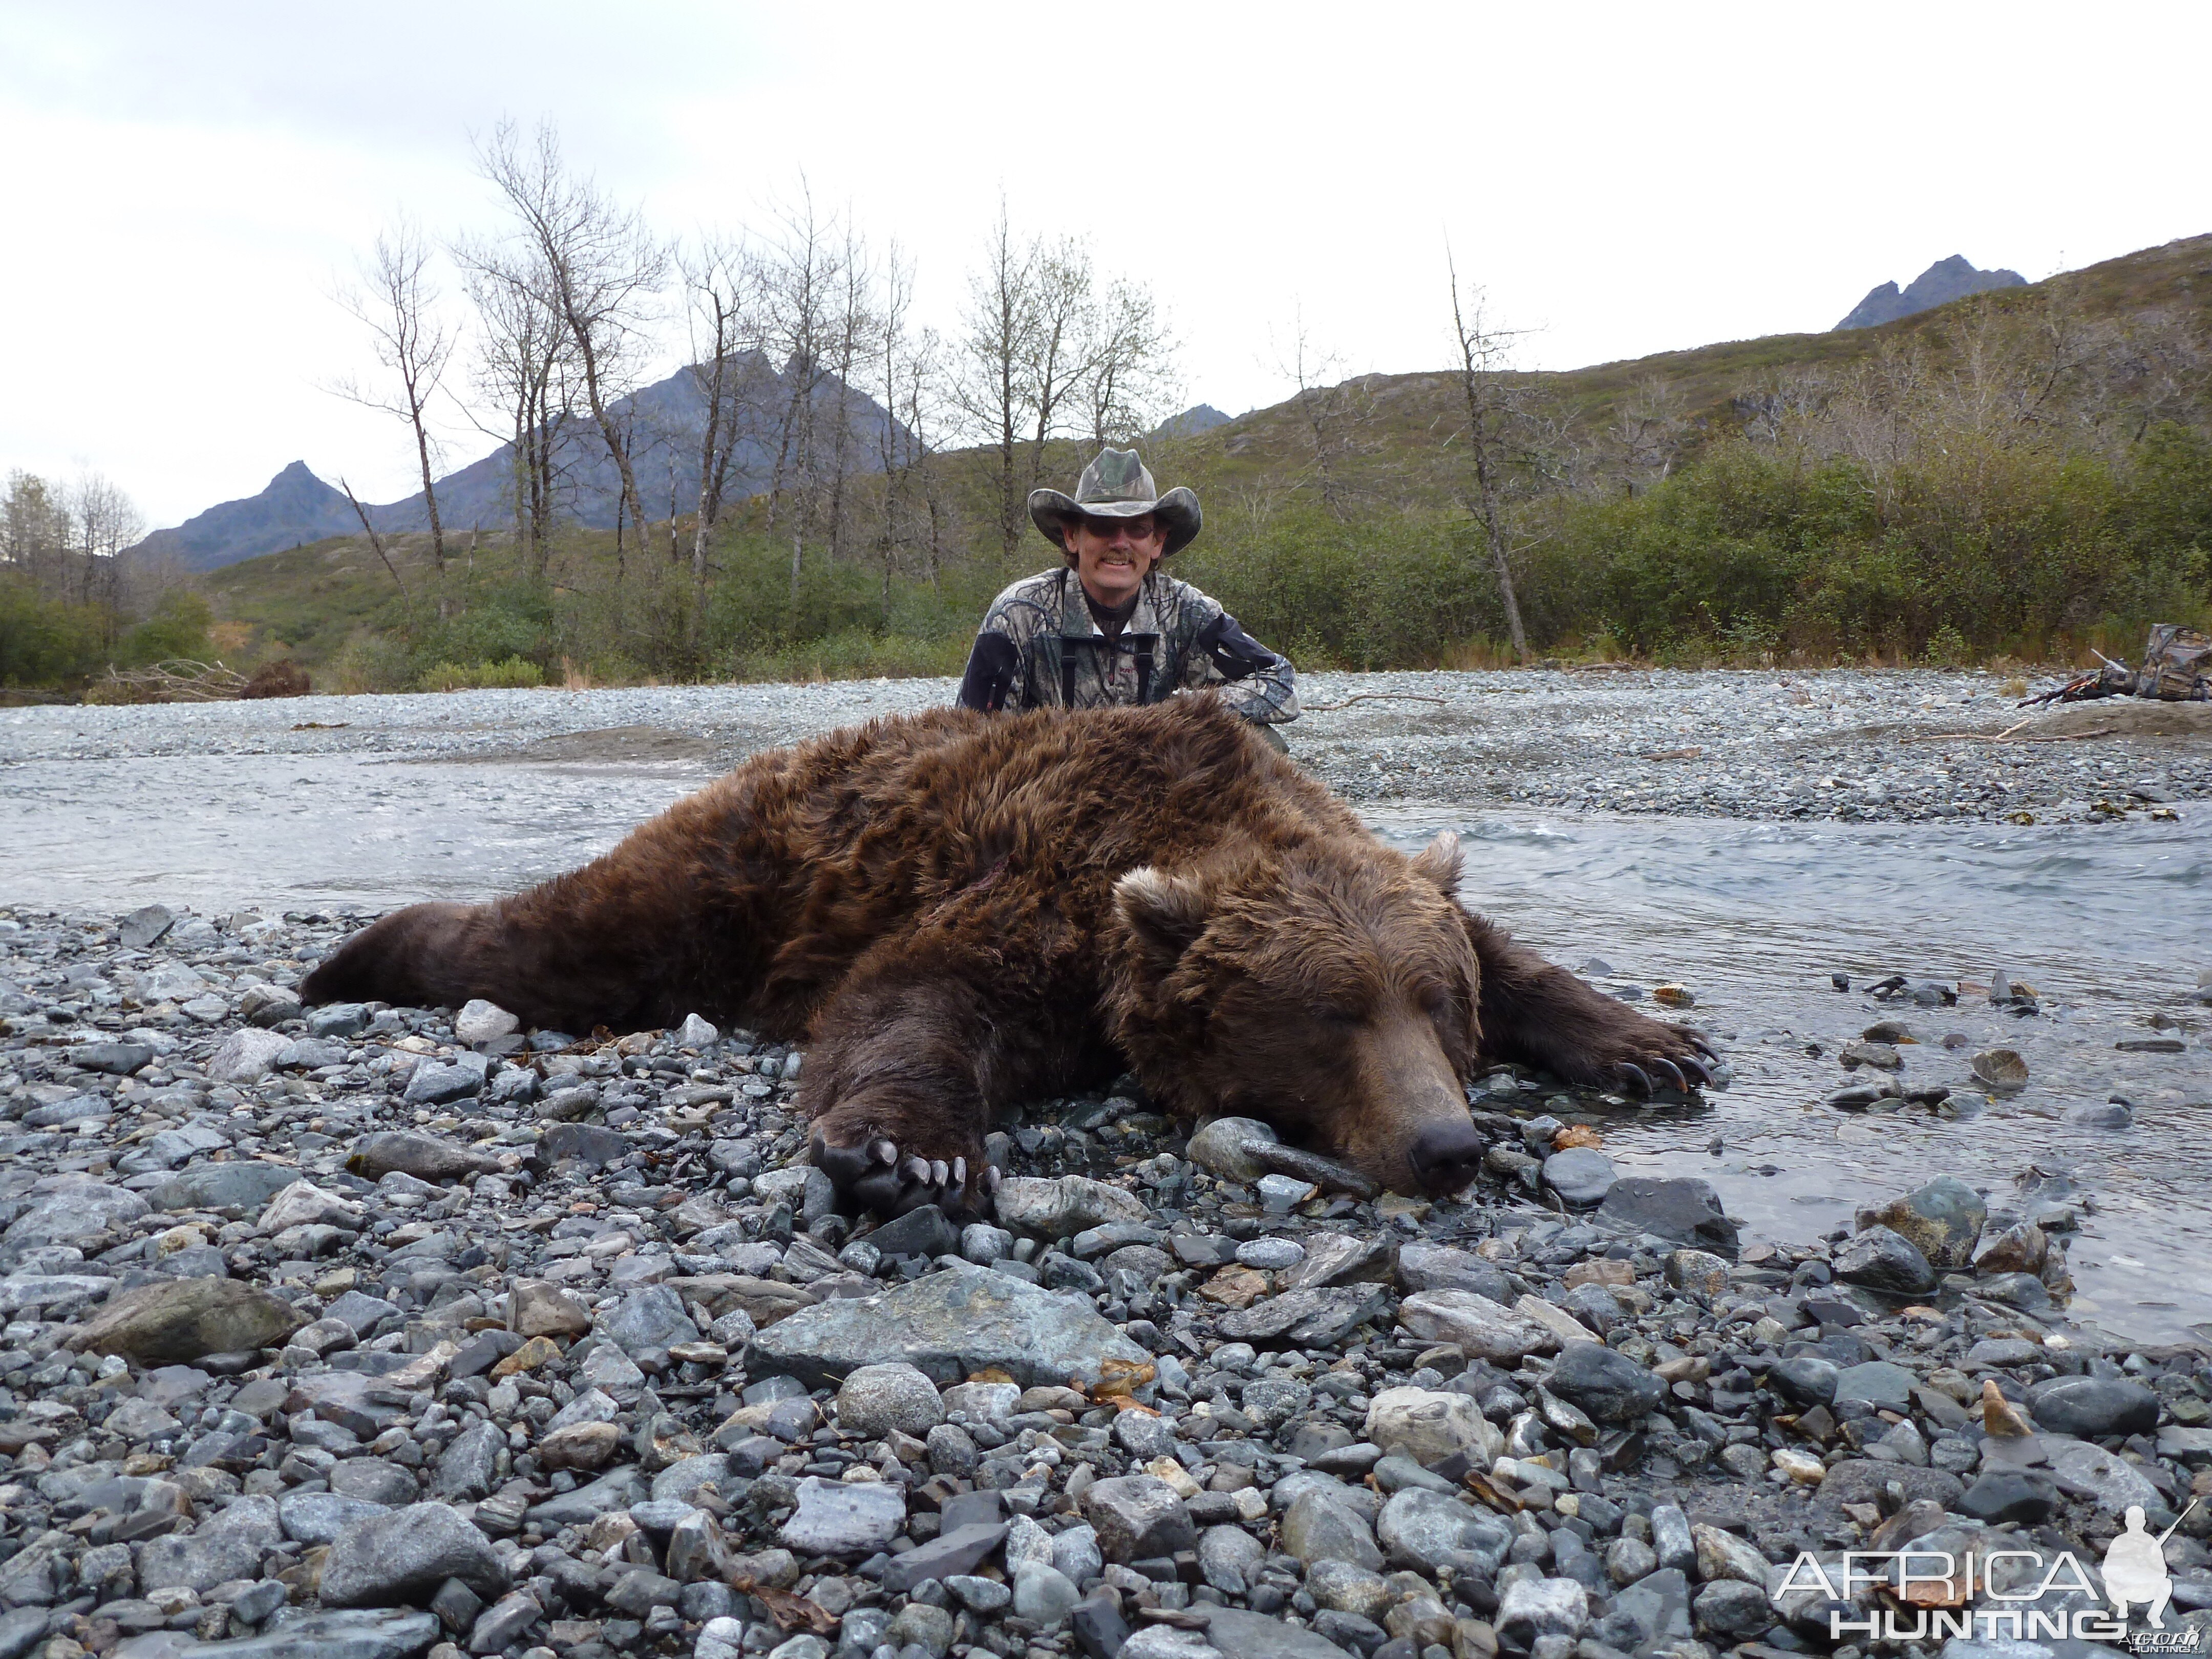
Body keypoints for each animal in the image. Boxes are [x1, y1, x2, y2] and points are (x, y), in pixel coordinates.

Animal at [299, 694, 1708, 1212]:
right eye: (1329, 1015)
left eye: (1437, 1007)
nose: (1447, 1144)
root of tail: (767, 759)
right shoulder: (1037, 895)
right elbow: (914, 998)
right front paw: (908, 1149)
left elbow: (1509, 941)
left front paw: (1648, 1041)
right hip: (725, 881)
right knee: (557, 942)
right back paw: (350, 959)